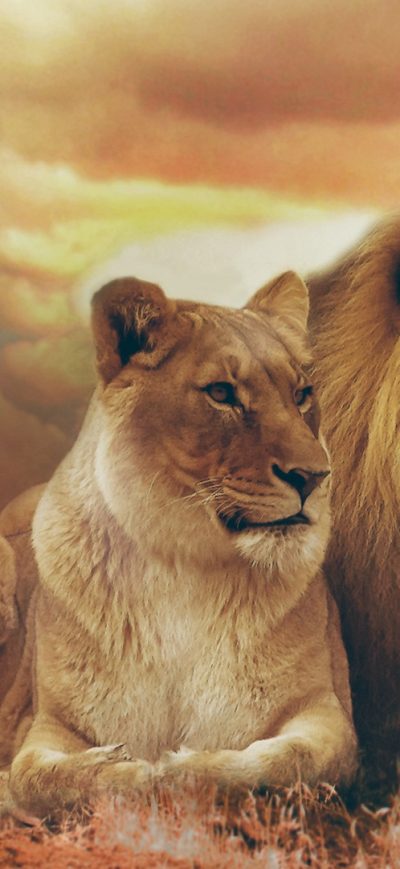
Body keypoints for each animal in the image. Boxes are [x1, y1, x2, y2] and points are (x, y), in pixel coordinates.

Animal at [1, 272, 356, 816]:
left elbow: (288, 761)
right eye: (221, 393)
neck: (184, 563)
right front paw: (120, 770)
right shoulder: (48, 725)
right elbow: (37, 776)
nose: (315, 476)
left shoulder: (326, 711)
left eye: (302, 394)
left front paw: (180, 769)